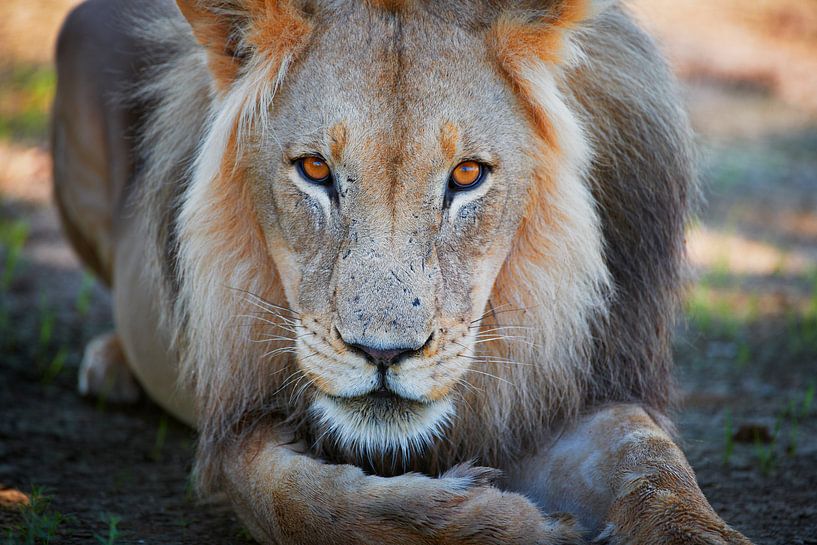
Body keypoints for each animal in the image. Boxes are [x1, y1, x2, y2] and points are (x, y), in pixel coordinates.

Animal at [49, 0, 752, 540]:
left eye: (467, 175)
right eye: (315, 169)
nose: (383, 354)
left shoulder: (581, 392)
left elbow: (655, 471)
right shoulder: (236, 429)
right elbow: (310, 505)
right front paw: (510, 525)